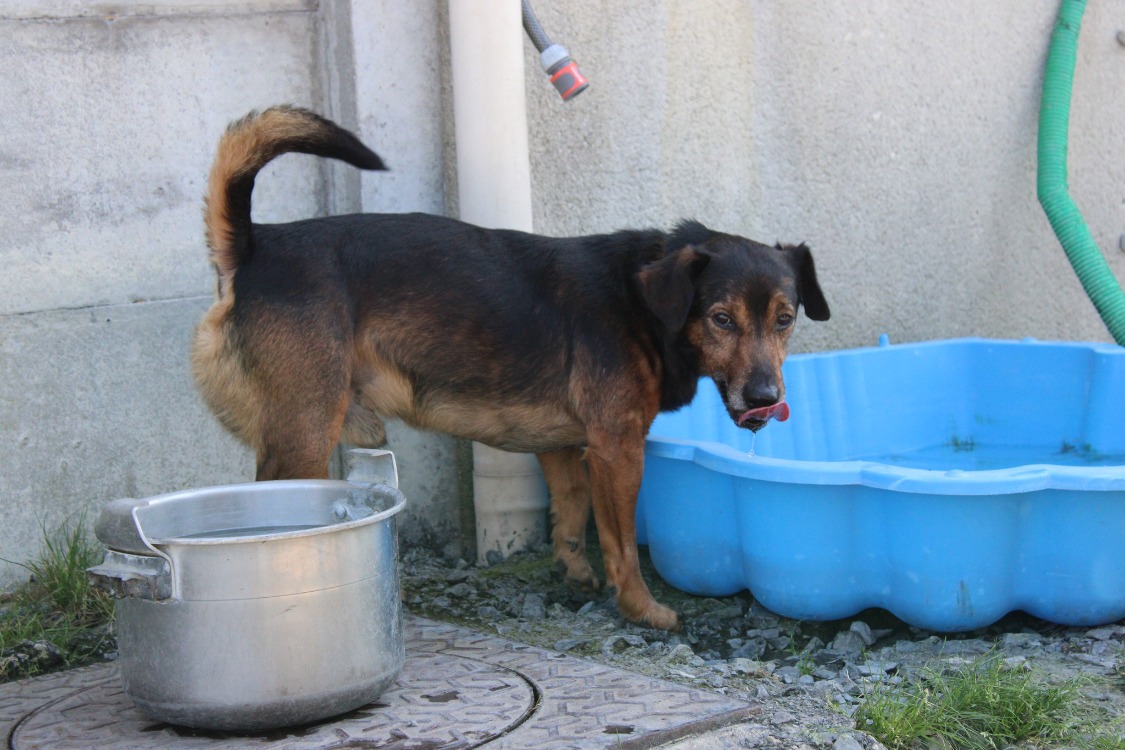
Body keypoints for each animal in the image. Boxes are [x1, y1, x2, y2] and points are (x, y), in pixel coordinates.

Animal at [191, 106, 830, 630]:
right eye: (721, 319)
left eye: (784, 319)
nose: (765, 395)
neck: (642, 302)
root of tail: (253, 247)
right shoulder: (617, 447)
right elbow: (620, 540)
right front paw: (641, 609)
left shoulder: (563, 445)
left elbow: (571, 510)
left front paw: (574, 571)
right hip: (304, 431)